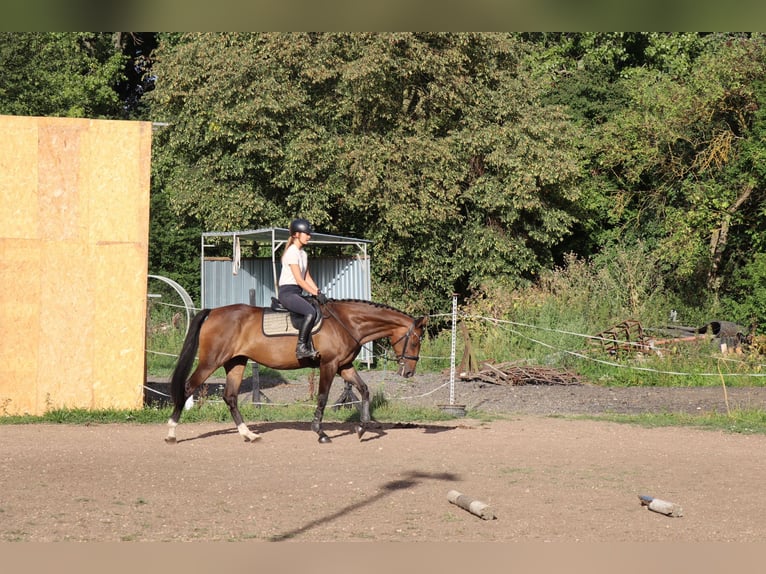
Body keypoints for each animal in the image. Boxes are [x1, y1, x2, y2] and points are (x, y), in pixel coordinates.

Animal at [165, 298, 428, 444]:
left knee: (230, 397)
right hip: (211, 361)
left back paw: (248, 435)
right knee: (188, 388)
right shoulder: (329, 365)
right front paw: (320, 433)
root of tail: (213, 311)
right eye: (415, 341)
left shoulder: (344, 366)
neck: (347, 322)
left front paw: (362, 428)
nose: (408, 373)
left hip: (236, 362)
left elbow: (364, 390)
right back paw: (171, 433)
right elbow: (322, 398)